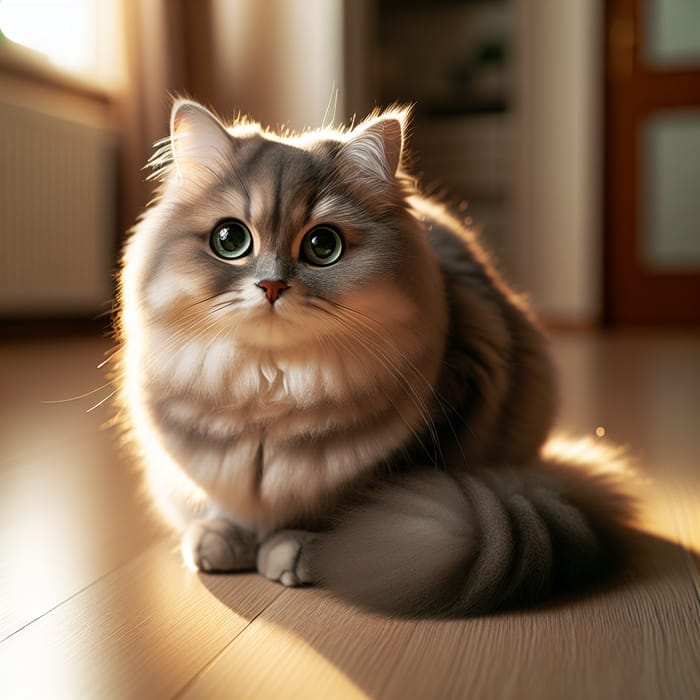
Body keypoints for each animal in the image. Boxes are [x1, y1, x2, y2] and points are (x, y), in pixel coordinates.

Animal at [115, 100, 636, 616]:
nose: (272, 286)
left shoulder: (437, 419)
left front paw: (297, 548)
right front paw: (222, 538)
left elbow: (332, 509)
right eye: (229, 240)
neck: (271, 392)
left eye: (323, 246)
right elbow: (227, 504)